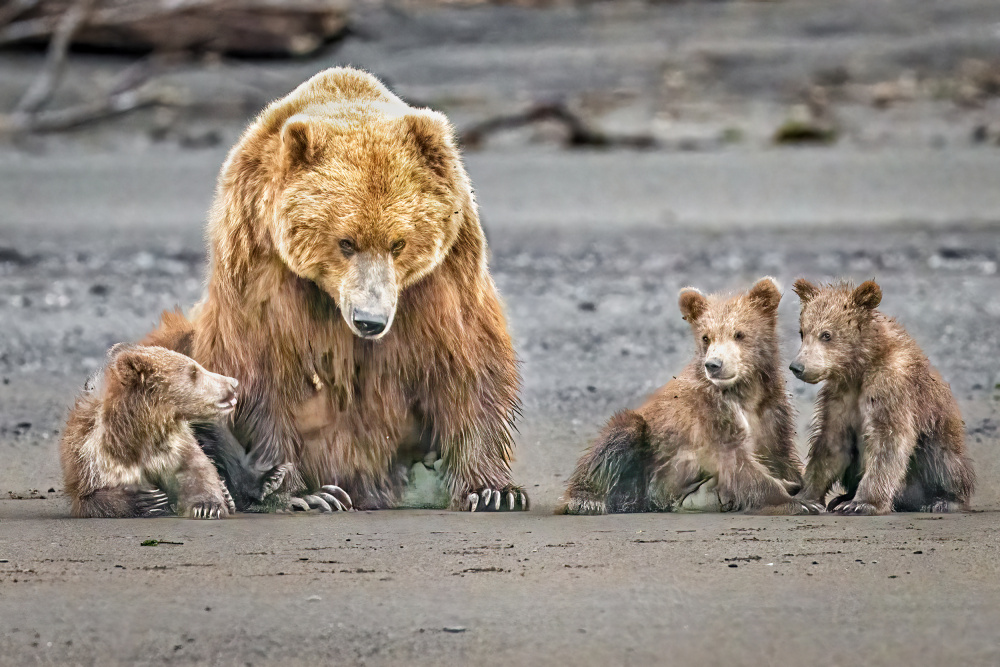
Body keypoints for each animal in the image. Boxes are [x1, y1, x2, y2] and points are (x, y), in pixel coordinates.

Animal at [174, 68, 524, 516]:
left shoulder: (443, 274)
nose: (370, 321)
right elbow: (262, 371)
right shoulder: (260, 268)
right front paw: (302, 493)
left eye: (399, 243)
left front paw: (493, 490)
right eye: (345, 242)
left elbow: (467, 360)